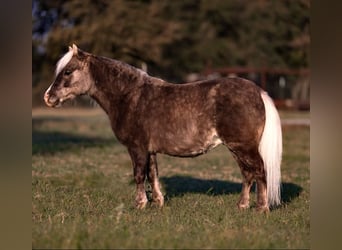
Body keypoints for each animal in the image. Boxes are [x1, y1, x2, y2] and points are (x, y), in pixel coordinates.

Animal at [44, 44, 282, 212]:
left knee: (259, 171)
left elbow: (139, 174)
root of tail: (258, 91)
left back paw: (261, 208)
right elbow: (153, 174)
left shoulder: (137, 148)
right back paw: (242, 206)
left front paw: (139, 204)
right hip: (237, 148)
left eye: (68, 71)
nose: (48, 97)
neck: (129, 95)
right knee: (248, 174)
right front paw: (157, 202)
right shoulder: (149, 150)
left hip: (242, 147)